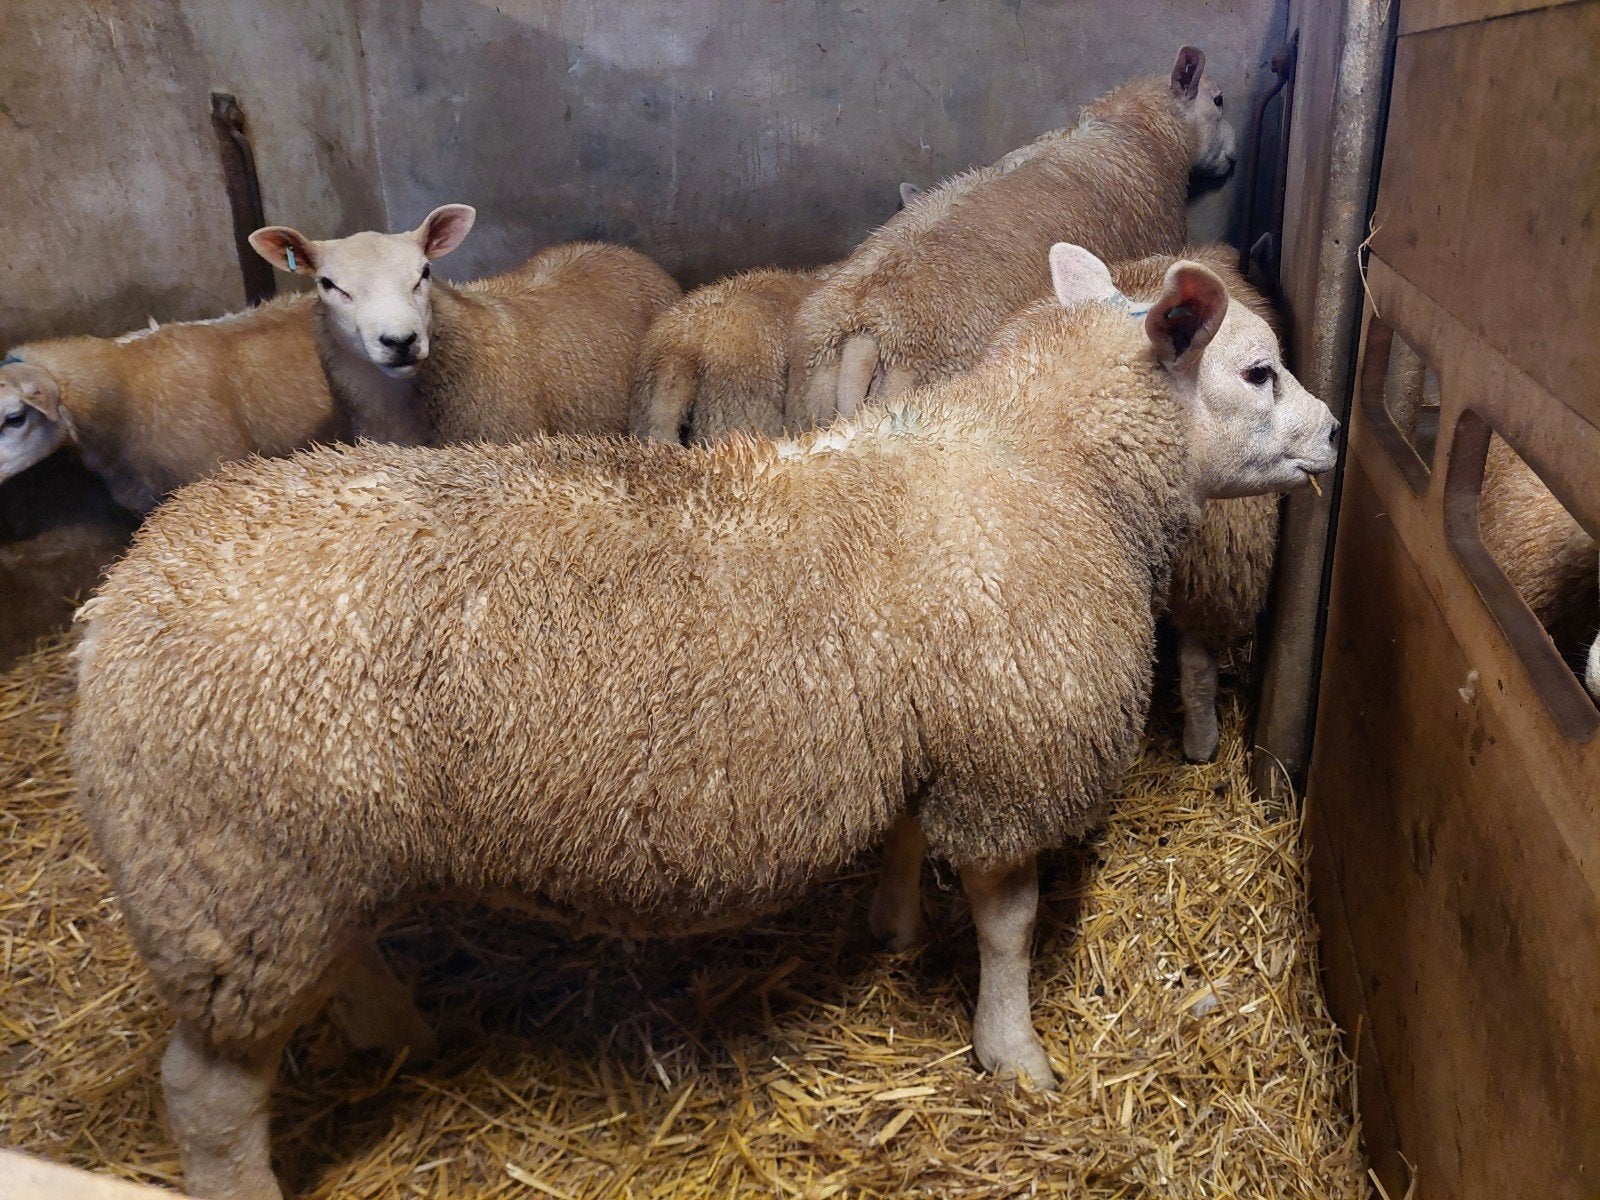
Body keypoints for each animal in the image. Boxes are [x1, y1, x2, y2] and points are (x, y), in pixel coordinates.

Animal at [70, 243, 1338, 1200]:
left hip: (294, 867)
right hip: (233, 875)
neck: (1057, 462)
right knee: (208, 1096)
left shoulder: (923, 722)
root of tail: (114, 604)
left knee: (342, 958)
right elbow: (1009, 928)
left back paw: (398, 1034)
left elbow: (901, 839)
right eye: (1259, 371)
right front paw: (1012, 1054)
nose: (1332, 434)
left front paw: (890, 931)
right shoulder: (1010, 752)